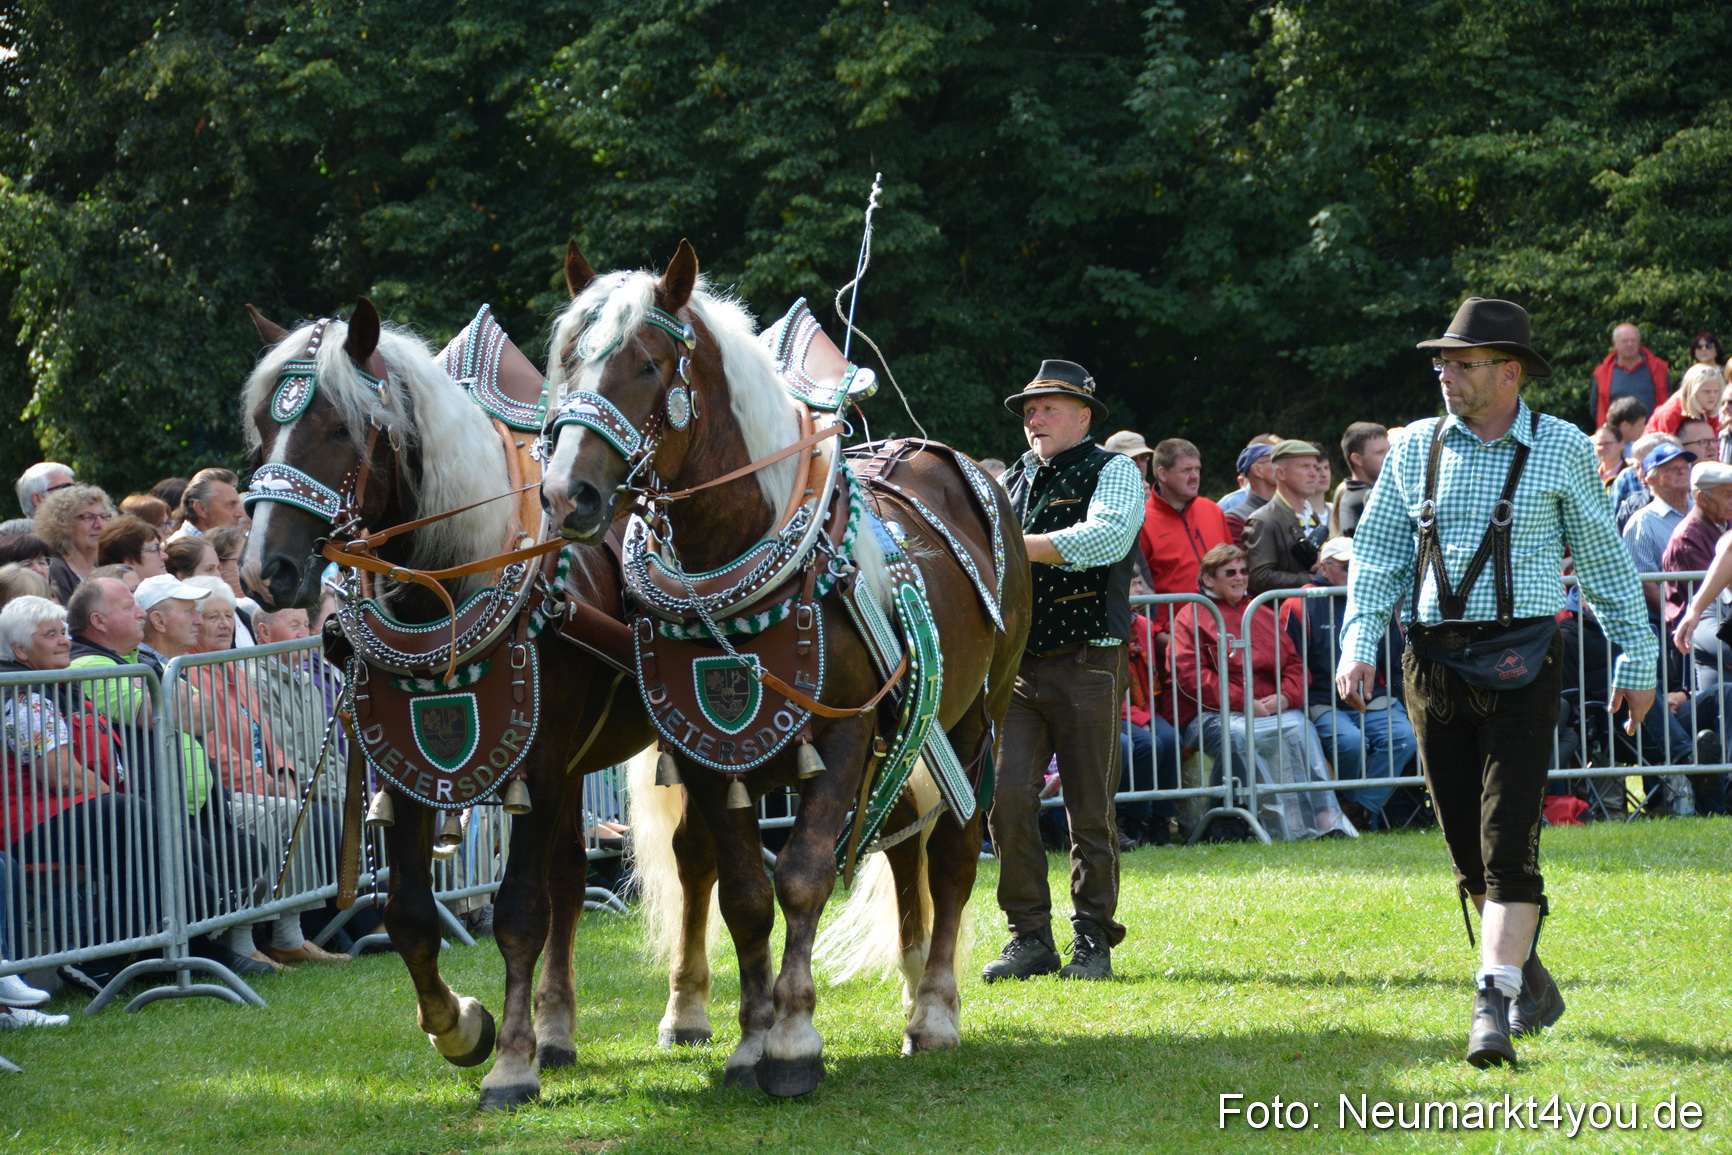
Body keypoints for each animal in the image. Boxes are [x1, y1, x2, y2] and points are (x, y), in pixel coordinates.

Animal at [239, 299, 654, 1110]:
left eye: (339, 427)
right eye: (262, 428)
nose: (264, 570)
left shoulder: (541, 765)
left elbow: (518, 912)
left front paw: (511, 1066)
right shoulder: (406, 767)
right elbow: (407, 915)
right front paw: (463, 1026)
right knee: (570, 879)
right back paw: (559, 1031)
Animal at [539, 240, 1031, 1097]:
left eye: (645, 362)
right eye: (567, 357)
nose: (569, 494)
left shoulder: (844, 737)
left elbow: (800, 876)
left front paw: (795, 1041)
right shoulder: (708, 752)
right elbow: (743, 893)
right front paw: (749, 1040)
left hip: (977, 716)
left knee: (953, 851)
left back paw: (935, 1010)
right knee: (901, 845)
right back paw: (910, 984)